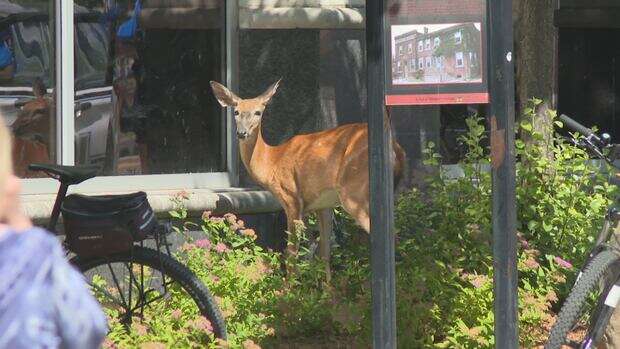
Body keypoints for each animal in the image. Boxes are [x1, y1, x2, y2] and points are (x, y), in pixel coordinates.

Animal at [211, 79, 410, 280]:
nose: (241, 133)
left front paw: (290, 286)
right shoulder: (323, 205)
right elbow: (324, 253)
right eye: (236, 111)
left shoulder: (291, 198)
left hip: (353, 192)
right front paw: (326, 287)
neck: (272, 161)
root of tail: (395, 147)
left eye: (258, 112)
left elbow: (291, 252)